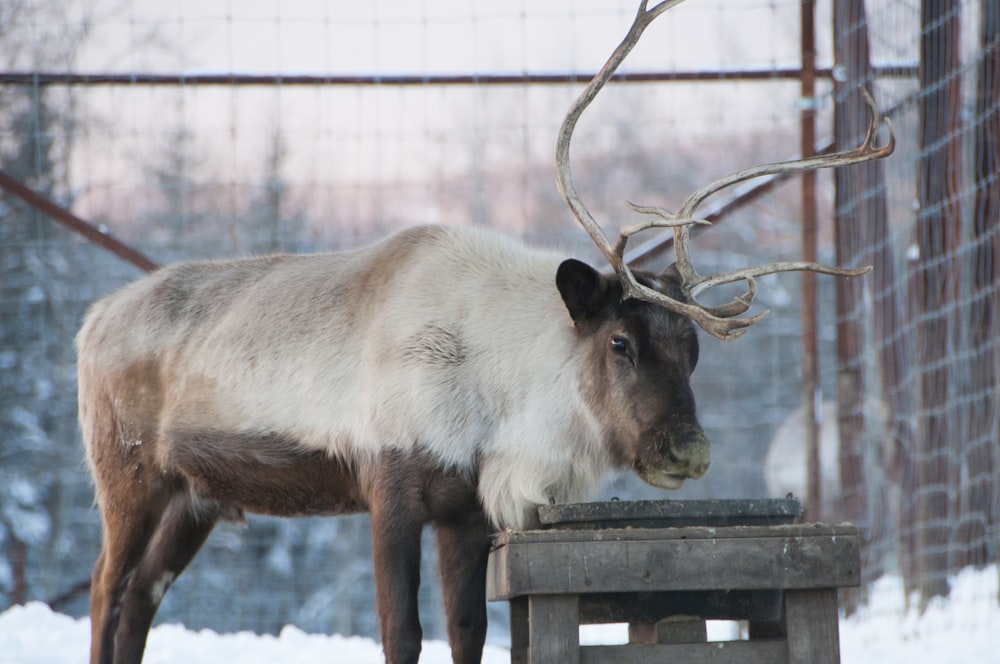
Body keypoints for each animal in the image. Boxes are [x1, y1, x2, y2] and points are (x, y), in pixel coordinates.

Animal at [76, 1, 892, 664]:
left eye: (693, 351)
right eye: (620, 343)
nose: (685, 449)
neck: (500, 390)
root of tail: (91, 321)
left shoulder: (466, 506)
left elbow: (467, 630)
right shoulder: (391, 485)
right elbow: (402, 631)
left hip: (194, 498)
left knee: (142, 599)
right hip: (128, 476)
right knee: (105, 591)